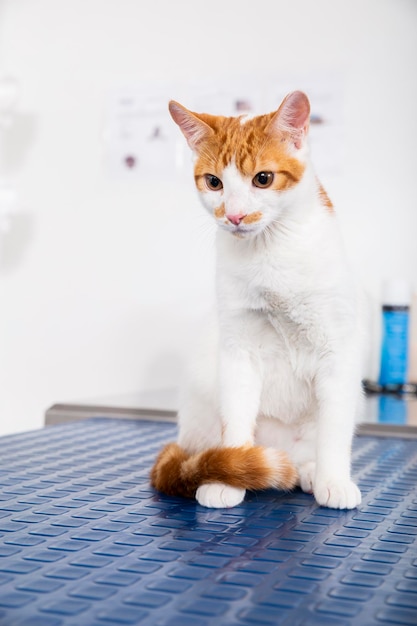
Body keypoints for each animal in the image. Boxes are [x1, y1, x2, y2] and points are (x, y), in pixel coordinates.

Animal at [151, 89, 362, 508]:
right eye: (214, 182)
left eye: (262, 179)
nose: (234, 216)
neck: (270, 252)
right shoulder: (238, 351)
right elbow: (236, 419)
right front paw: (231, 473)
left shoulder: (337, 352)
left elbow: (334, 431)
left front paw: (333, 479)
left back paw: (310, 472)